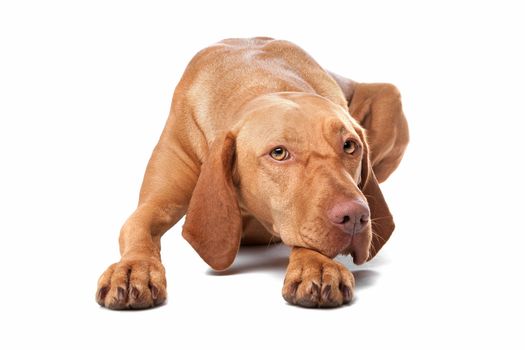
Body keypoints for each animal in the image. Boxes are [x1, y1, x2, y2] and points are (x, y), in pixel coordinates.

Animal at [95, 36, 410, 308]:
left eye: (349, 146)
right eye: (279, 153)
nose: (356, 217)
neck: (263, 82)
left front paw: (317, 267)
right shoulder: (157, 201)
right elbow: (136, 225)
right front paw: (132, 269)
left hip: (390, 97)